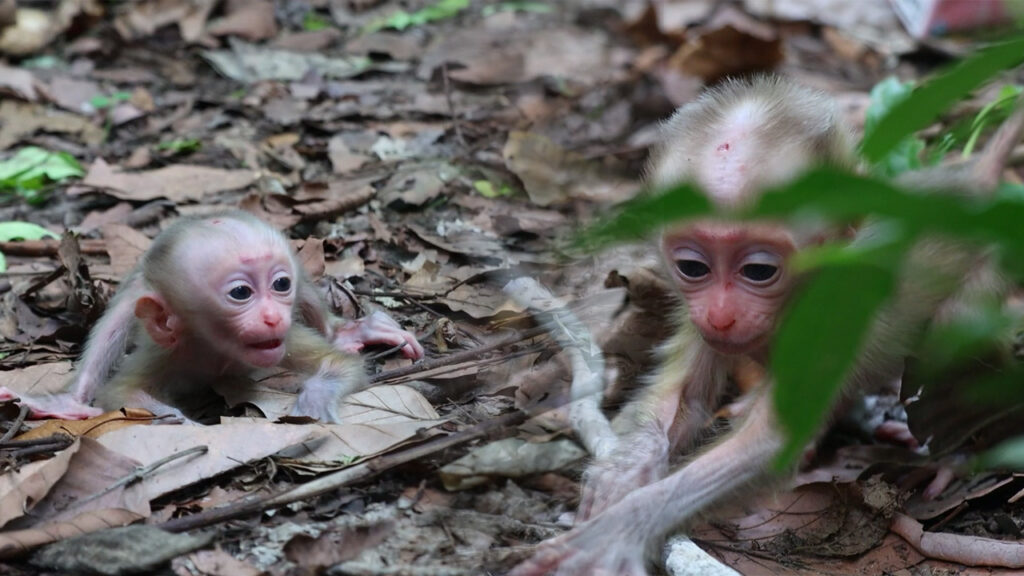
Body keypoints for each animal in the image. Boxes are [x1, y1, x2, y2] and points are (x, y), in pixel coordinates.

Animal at [4, 210, 424, 423]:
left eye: (280, 284)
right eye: (240, 293)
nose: (272, 317)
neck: (216, 349)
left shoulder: (288, 338)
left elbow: (338, 364)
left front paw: (315, 400)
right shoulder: (170, 349)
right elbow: (120, 393)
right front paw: (178, 419)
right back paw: (70, 403)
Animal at [509, 76, 1024, 576]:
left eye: (759, 271)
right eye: (693, 267)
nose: (720, 314)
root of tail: (973, 180)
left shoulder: (834, 311)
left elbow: (771, 439)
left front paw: (622, 527)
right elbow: (683, 401)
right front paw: (623, 475)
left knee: (954, 336)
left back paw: (955, 455)